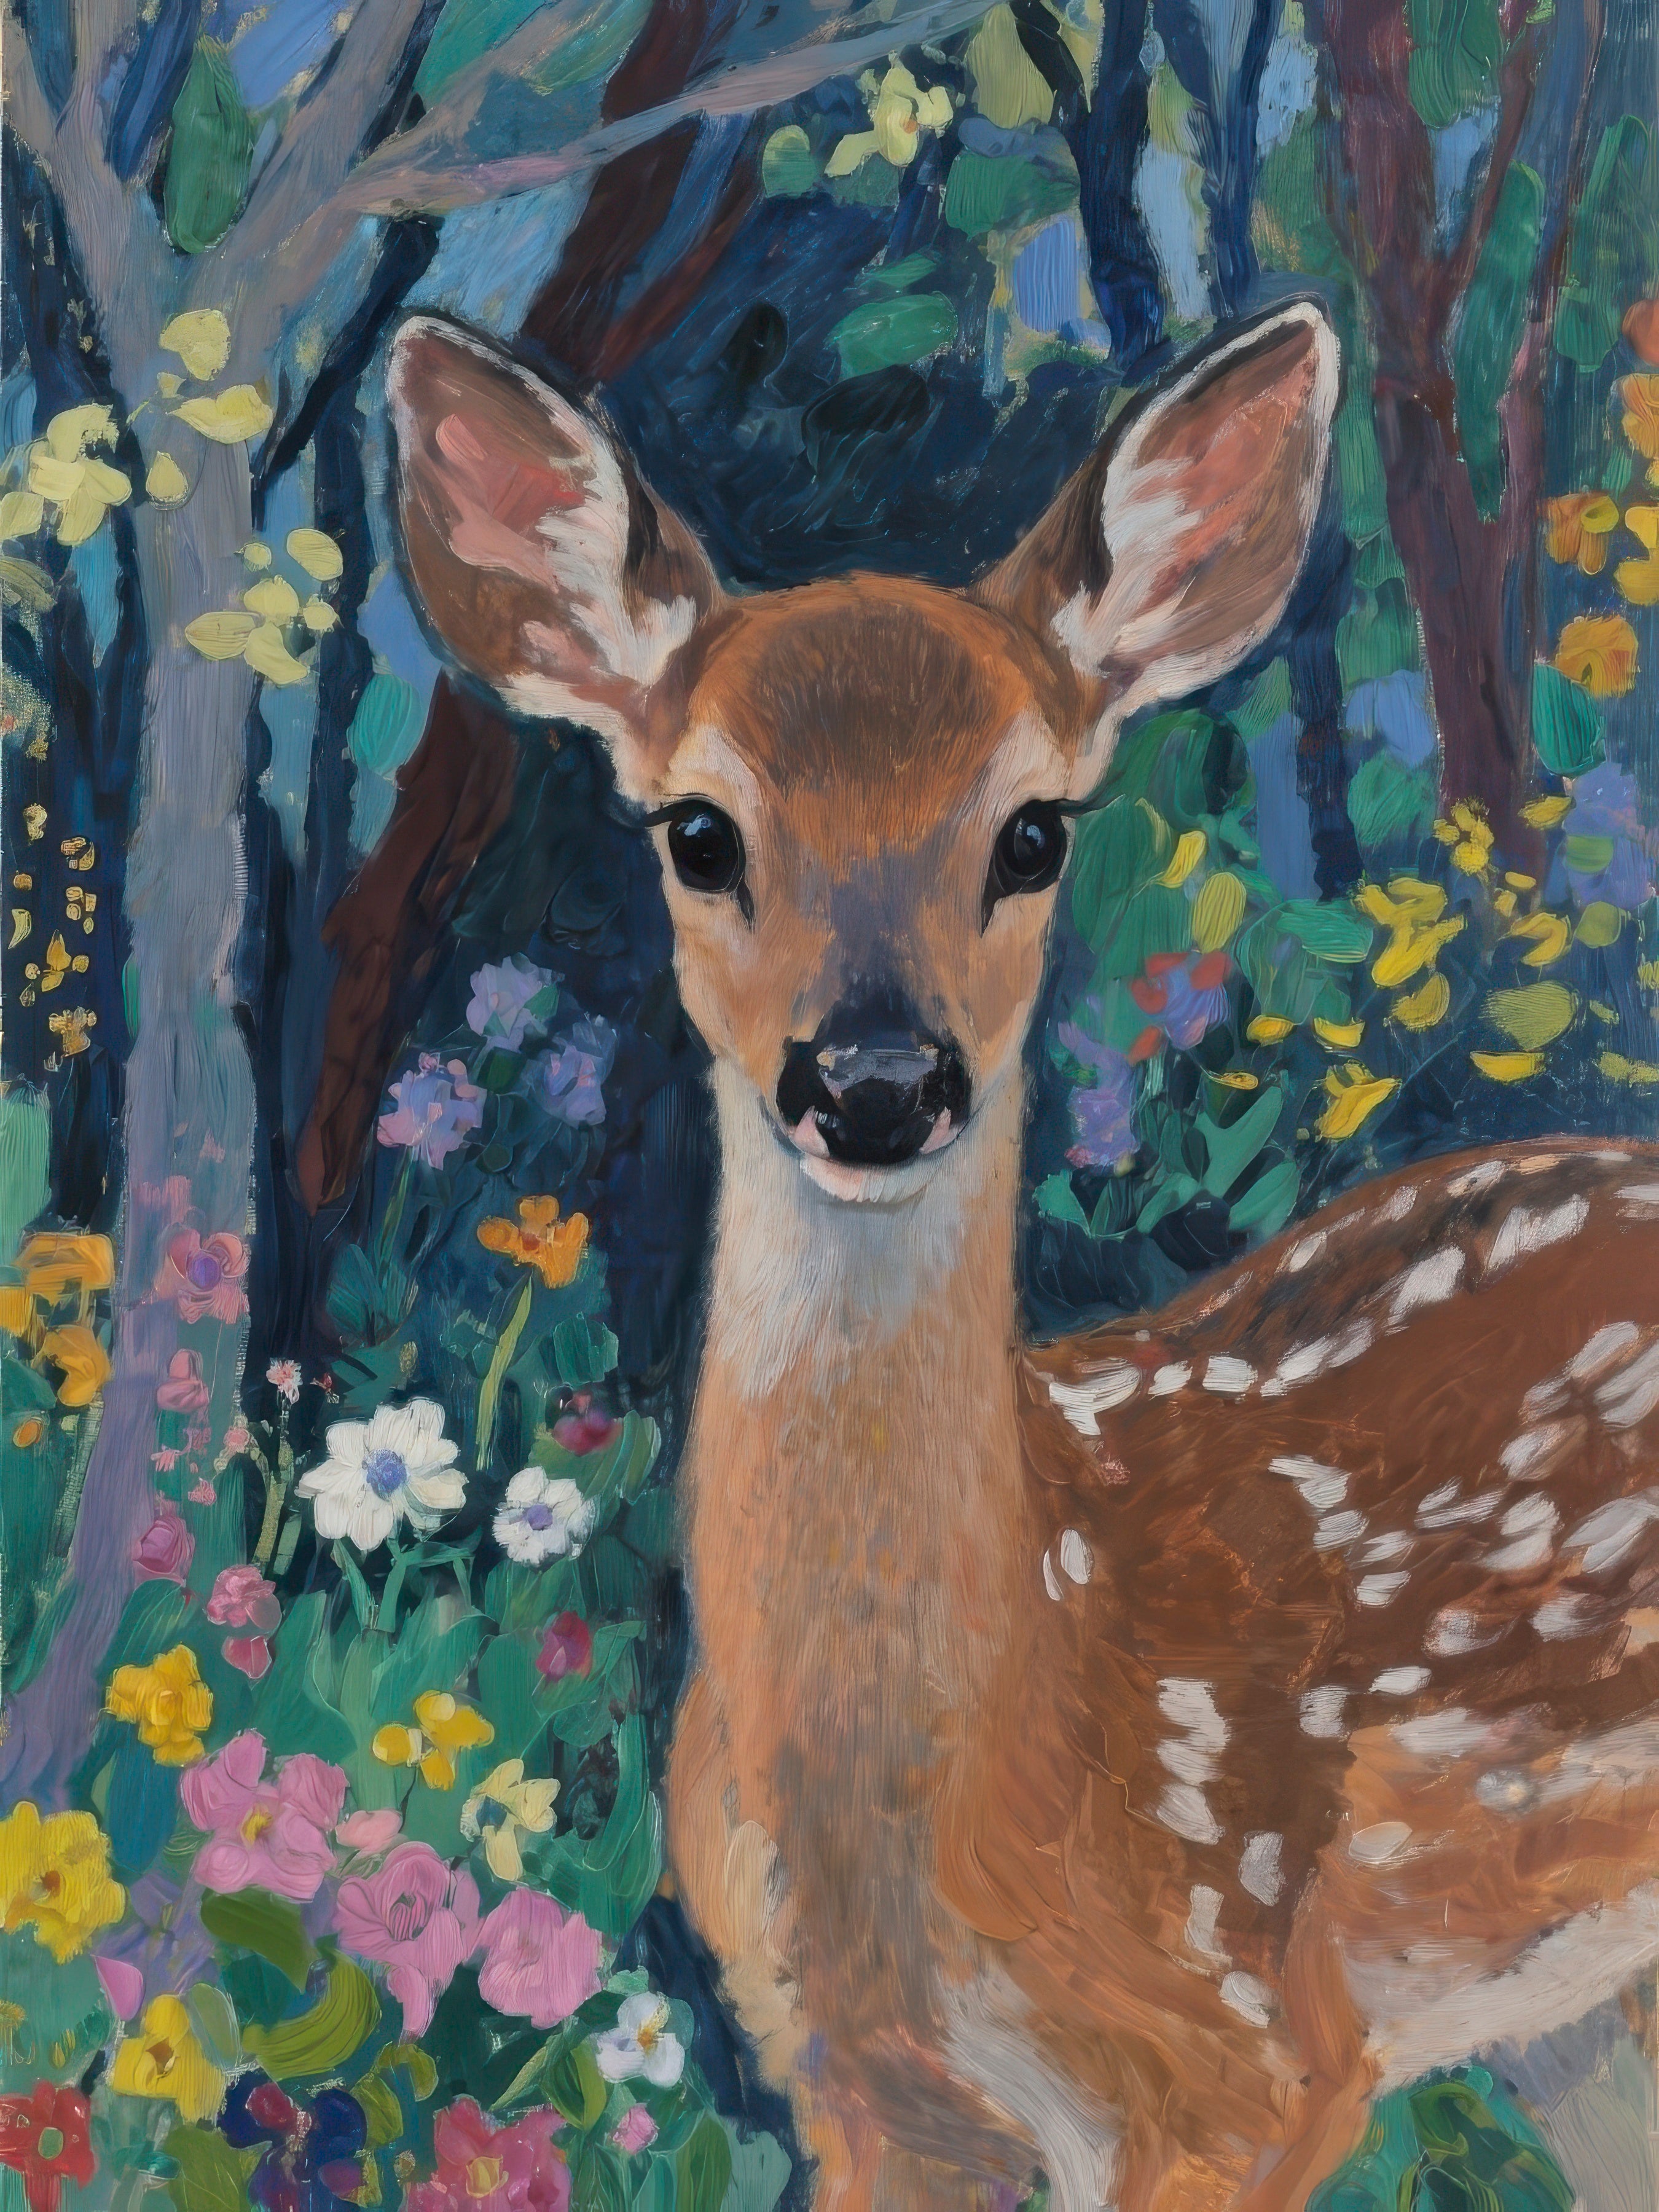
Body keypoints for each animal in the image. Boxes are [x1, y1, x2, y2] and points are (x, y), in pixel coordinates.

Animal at [385, 301, 1659, 2212]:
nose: (874, 1079)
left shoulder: (1257, 2056)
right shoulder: (851, 2088)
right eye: (697, 831)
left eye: (1033, 831)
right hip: (1575, 2002)